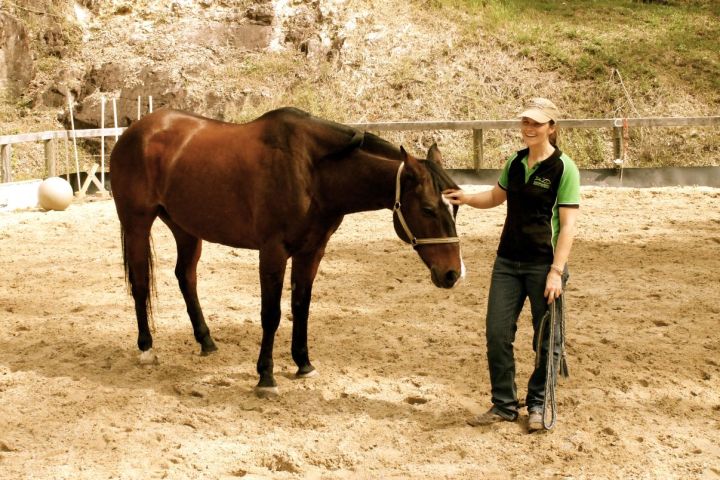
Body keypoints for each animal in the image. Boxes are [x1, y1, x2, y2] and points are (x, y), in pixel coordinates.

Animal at [110, 107, 464, 396]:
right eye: (429, 209)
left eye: (456, 207)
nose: (452, 274)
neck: (312, 172)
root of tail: (134, 130)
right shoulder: (273, 252)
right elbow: (272, 314)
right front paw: (266, 377)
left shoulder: (311, 252)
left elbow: (301, 307)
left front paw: (303, 363)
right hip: (137, 223)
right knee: (140, 283)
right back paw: (146, 349)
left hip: (186, 229)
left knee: (186, 277)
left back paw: (206, 341)